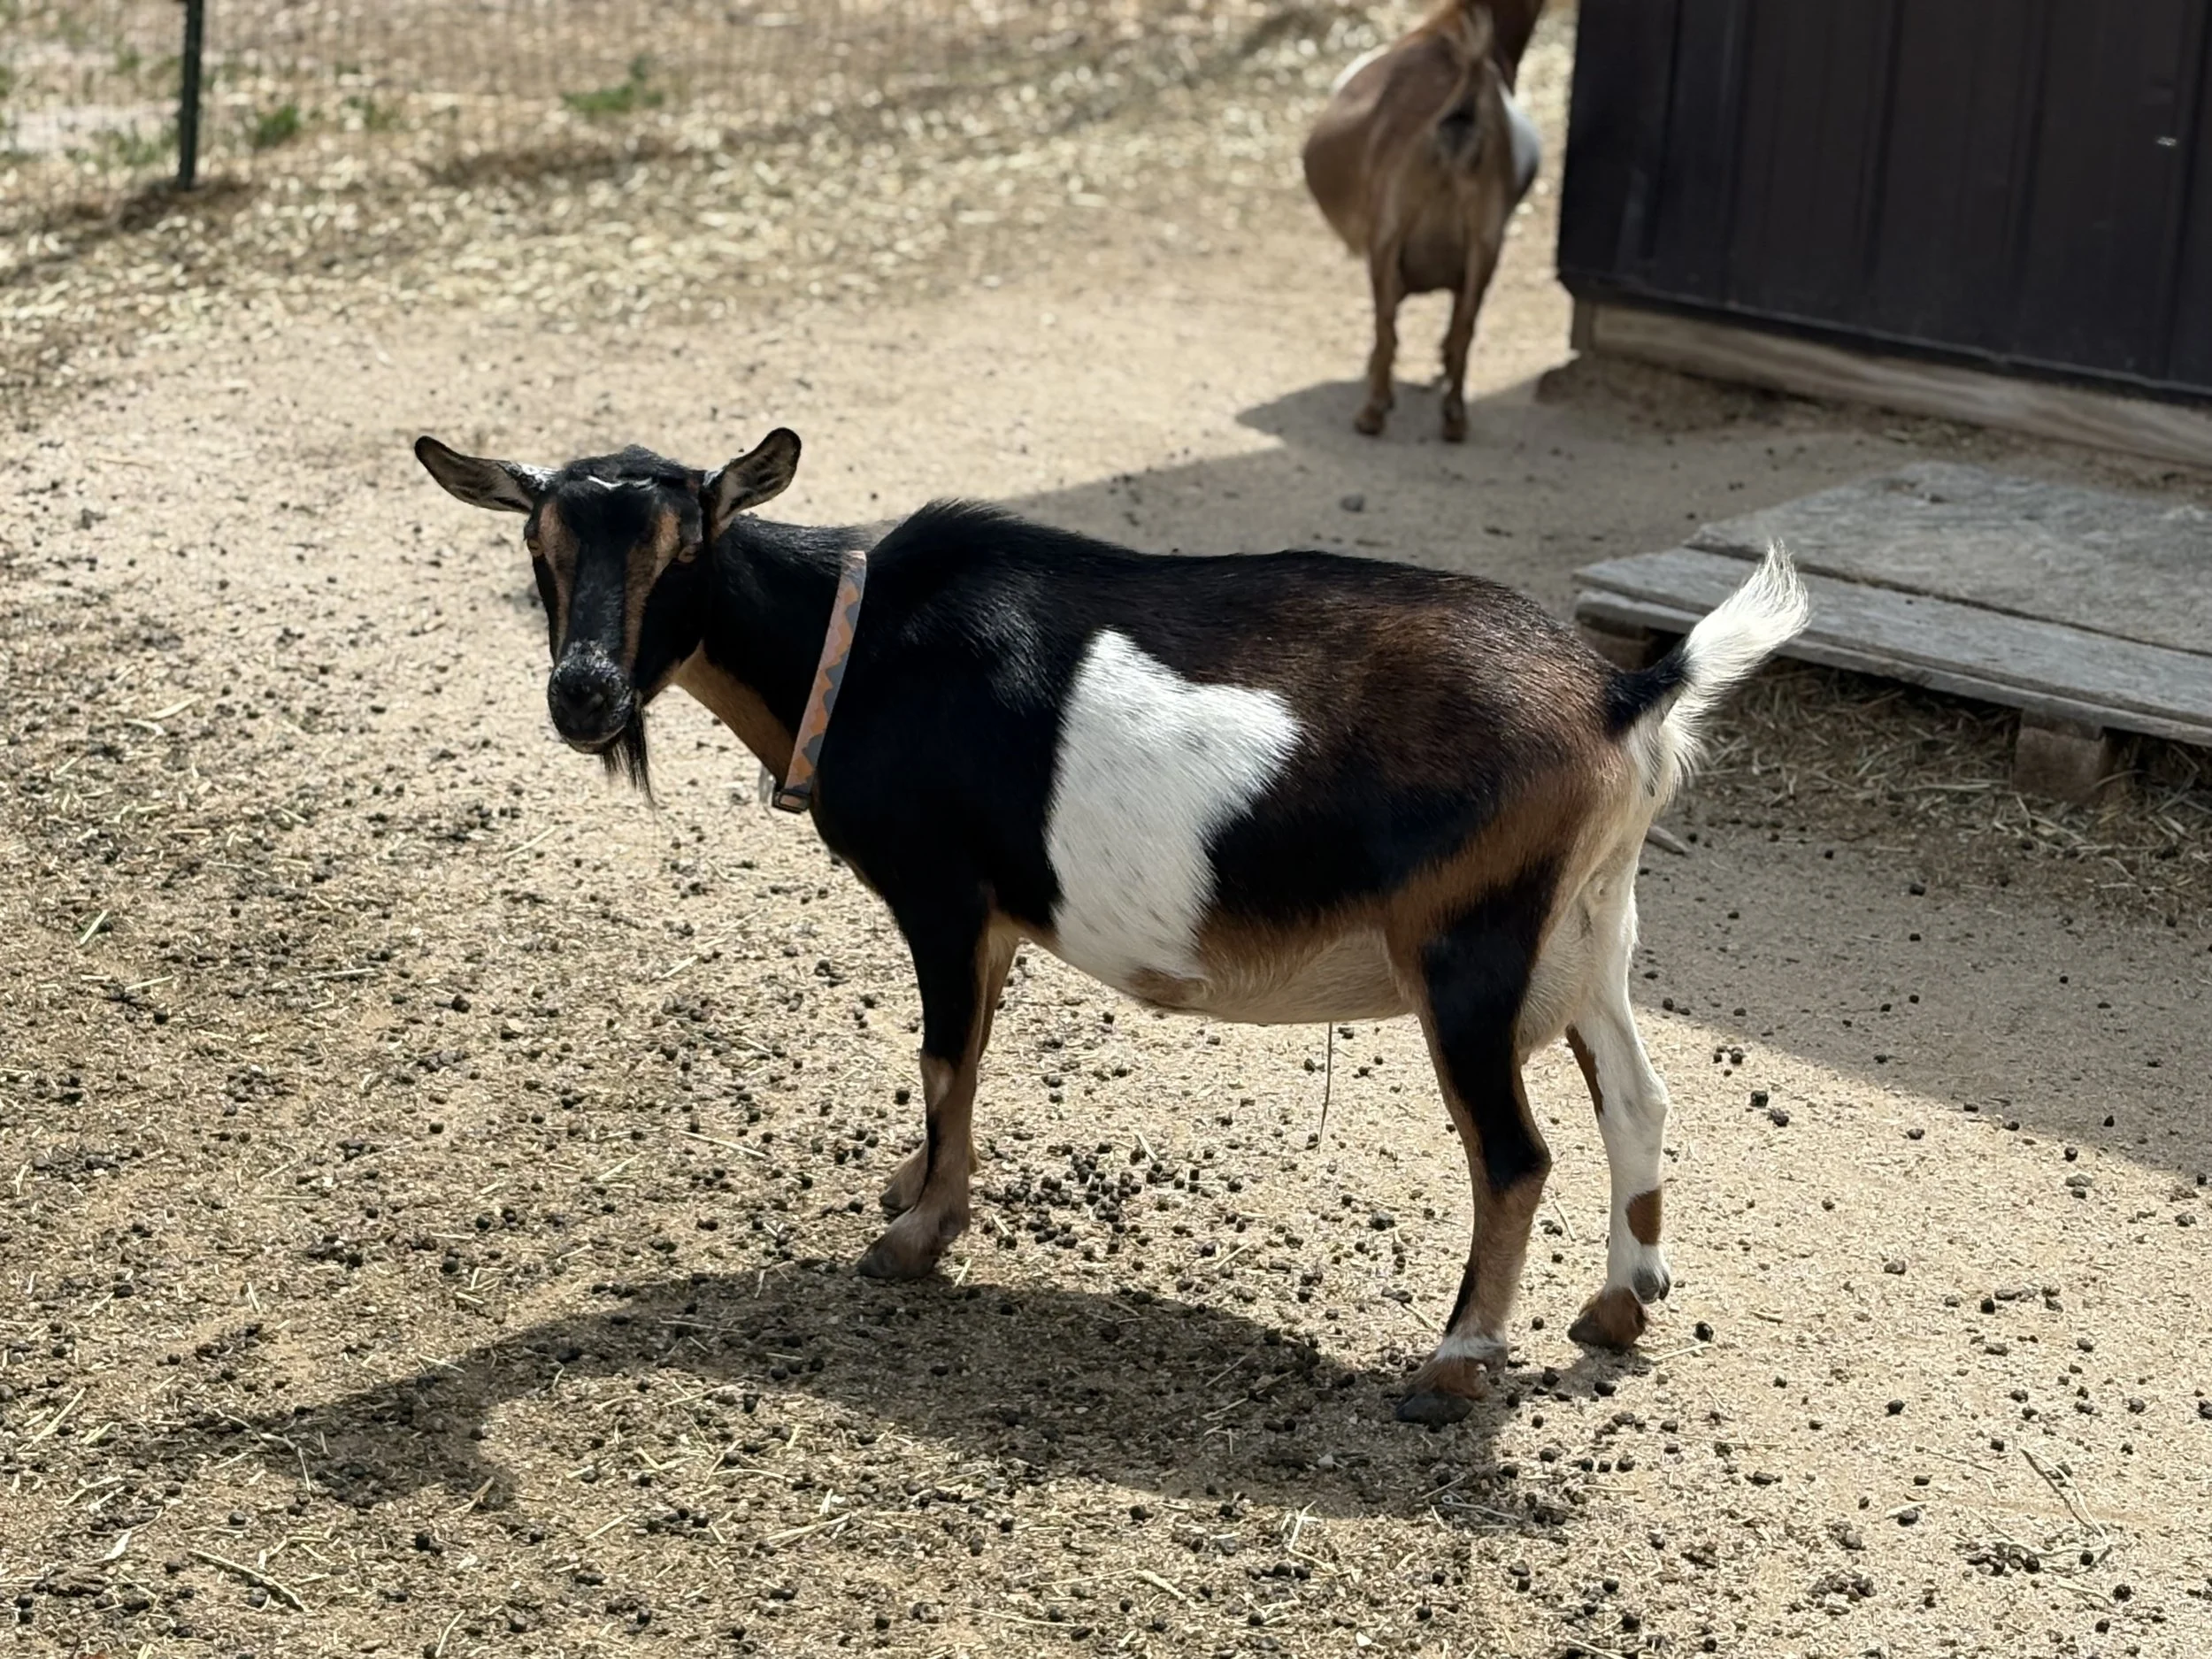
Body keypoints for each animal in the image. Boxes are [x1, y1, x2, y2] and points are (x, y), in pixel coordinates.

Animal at [415, 428, 1808, 1424]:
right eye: (537, 549)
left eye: (684, 547)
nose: (584, 694)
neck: (852, 650)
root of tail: (1627, 692)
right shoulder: (987, 918)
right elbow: (962, 1061)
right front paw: (913, 1184)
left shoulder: (944, 892)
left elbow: (942, 1055)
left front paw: (915, 1237)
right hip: (1589, 931)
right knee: (1637, 1096)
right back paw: (1619, 1304)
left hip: (1467, 949)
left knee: (1513, 1155)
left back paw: (1453, 1366)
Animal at [1304, 0, 1546, 441]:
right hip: (1484, 246)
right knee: (1463, 329)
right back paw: (1454, 417)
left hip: (1388, 242)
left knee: (1386, 327)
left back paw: (1373, 412)